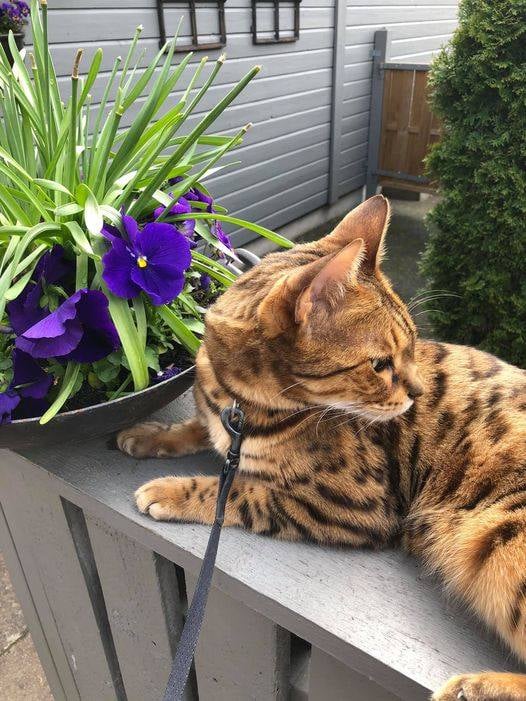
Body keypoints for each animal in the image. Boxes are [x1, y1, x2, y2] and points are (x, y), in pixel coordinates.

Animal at [117, 196, 526, 701]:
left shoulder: (358, 505)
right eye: (380, 364)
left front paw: (170, 491)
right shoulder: (221, 422)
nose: (418, 391)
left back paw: (479, 685)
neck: (243, 403)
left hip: (501, 533)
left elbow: (237, 491)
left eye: (412, 348)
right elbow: (196, 428)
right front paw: (149, 434)